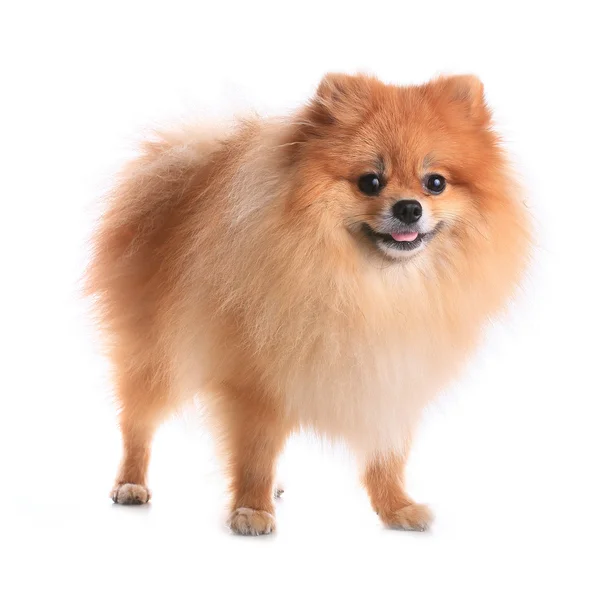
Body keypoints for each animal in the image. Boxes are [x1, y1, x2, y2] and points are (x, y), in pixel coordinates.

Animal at [88, 71, 528, 536]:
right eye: (370, 181)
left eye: (436, 182)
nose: (409, 208)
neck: (374, 287)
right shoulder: (255, 383)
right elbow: (254, 451)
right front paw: (252, 508)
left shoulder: (392, 376)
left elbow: (387, 453)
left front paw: (396, 506)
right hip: (160, 357)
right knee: (137, 422)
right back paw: (131, 483)